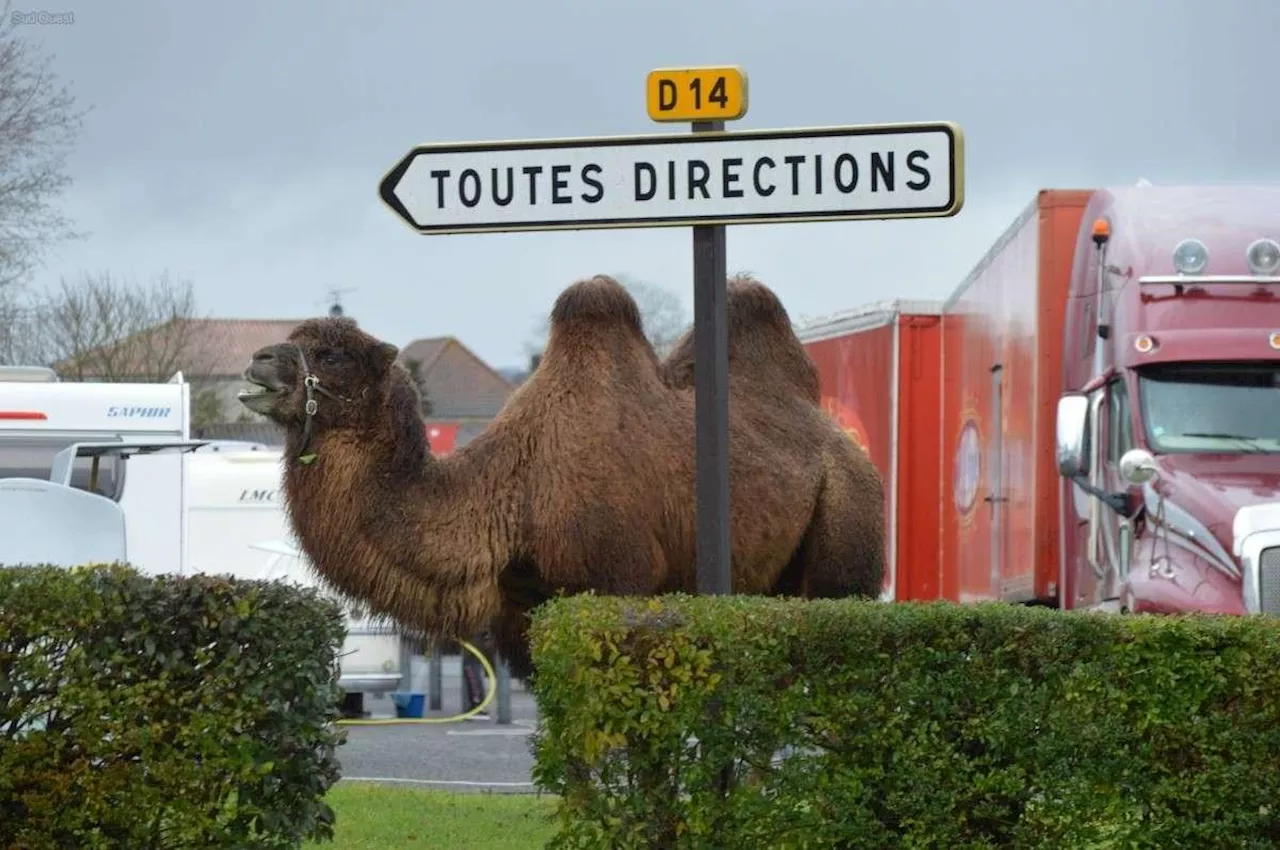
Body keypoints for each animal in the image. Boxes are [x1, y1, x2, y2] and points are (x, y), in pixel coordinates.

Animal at [238, 275, 880, 681]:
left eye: (333, 354)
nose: (258, 361)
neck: (512, 496)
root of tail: (850, 448)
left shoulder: (618, 586)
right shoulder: (520, 617)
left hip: (846, 543)